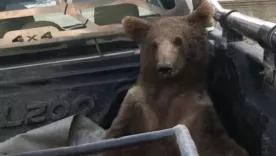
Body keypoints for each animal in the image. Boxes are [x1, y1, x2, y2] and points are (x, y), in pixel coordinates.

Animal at [101, 0, 248, 156]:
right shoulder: (137, 109)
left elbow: (221, 144)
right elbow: (116, 137)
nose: (165, 67)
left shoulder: (197, 113)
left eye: (178, 40)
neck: (168, 89)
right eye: (154, 44)